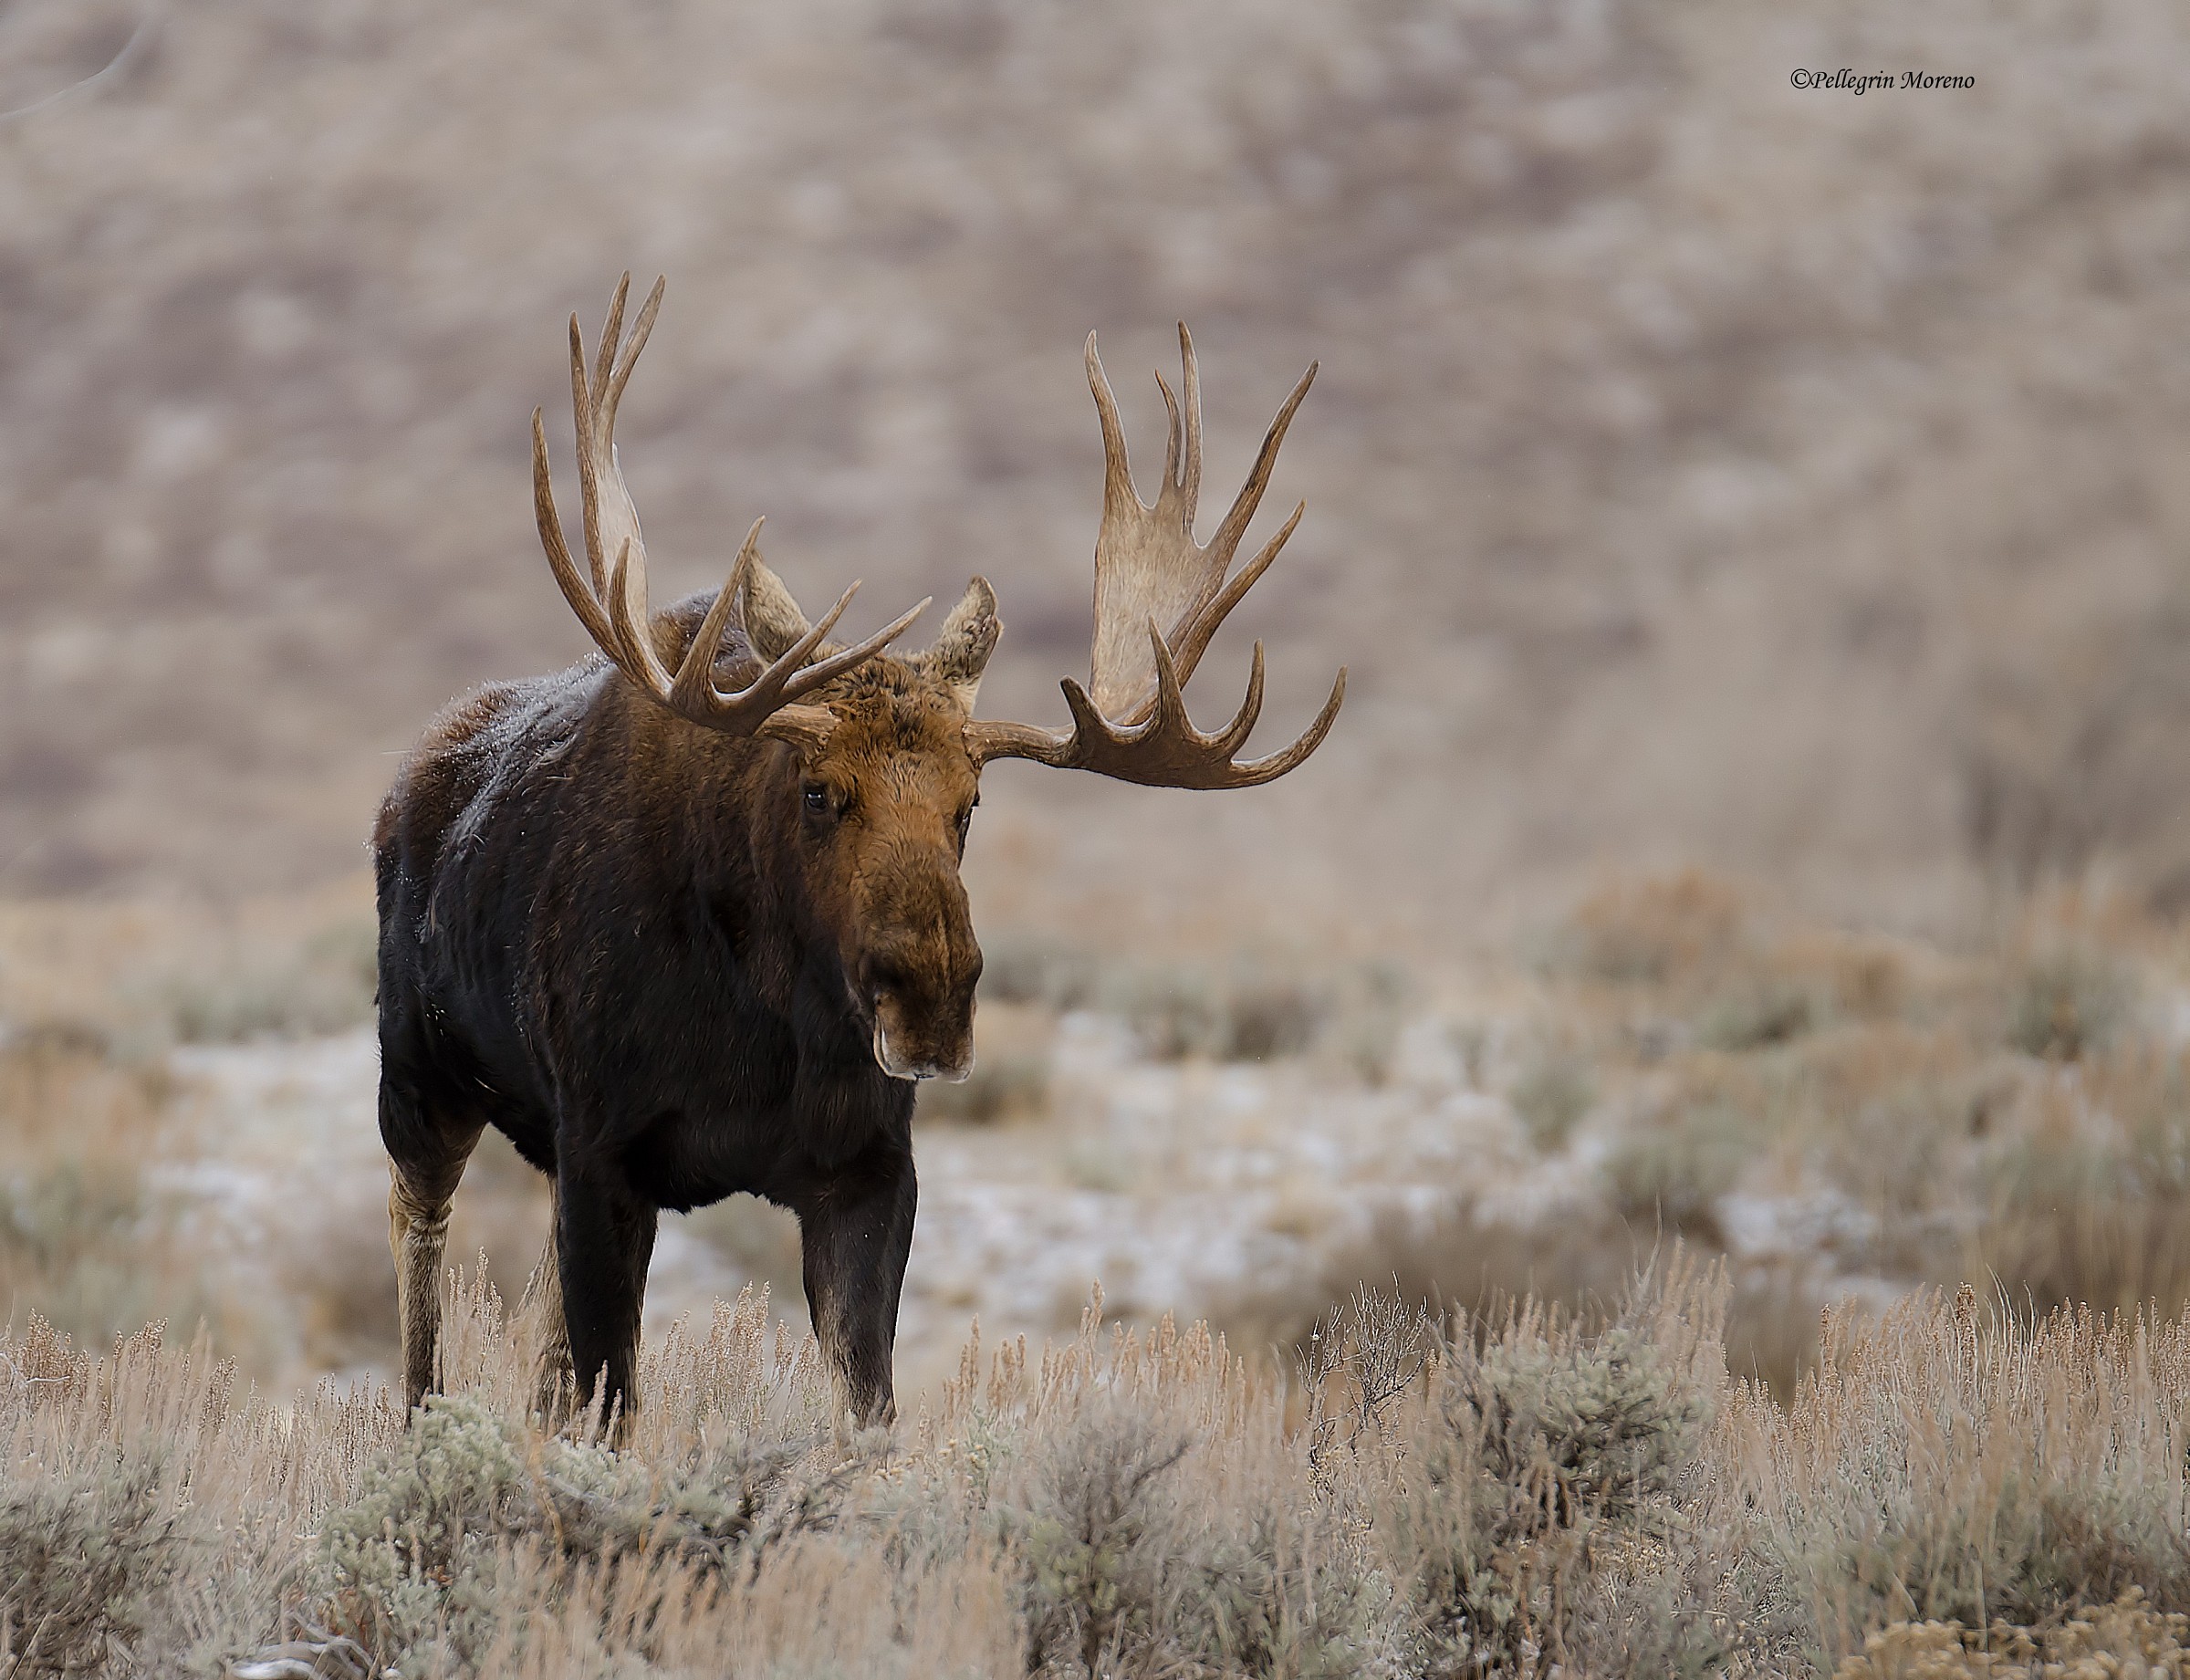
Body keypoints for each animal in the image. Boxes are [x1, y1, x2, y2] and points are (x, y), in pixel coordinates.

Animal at [373, 276, 1344, 1433]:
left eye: (971, 805)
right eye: (818, 791)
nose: (930, 998)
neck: (758, 1019)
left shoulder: (870, 1167)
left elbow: (863, 1408)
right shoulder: (602, 1146)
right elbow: (612, 1408)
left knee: (540, 1348)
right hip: (419, 1077)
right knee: (422, 1267)